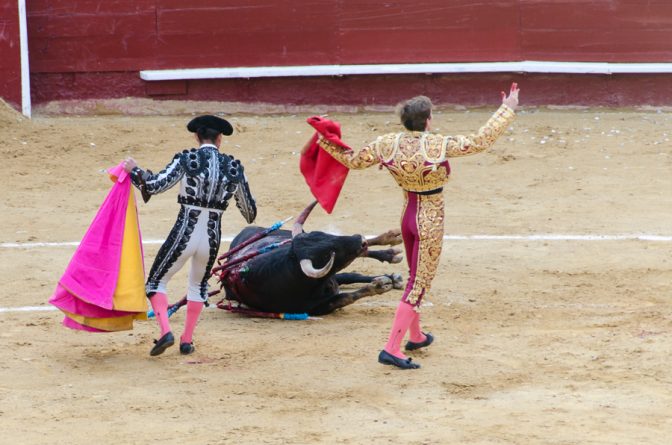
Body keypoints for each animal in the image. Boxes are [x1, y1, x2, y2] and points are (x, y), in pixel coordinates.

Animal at [215, 203, 404, 314]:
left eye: (325, 235)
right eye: (329, 253)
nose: (360, 240)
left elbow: (352, 277)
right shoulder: (319, 306)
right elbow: (346, 297)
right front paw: (380, 284)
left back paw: (391, 243)